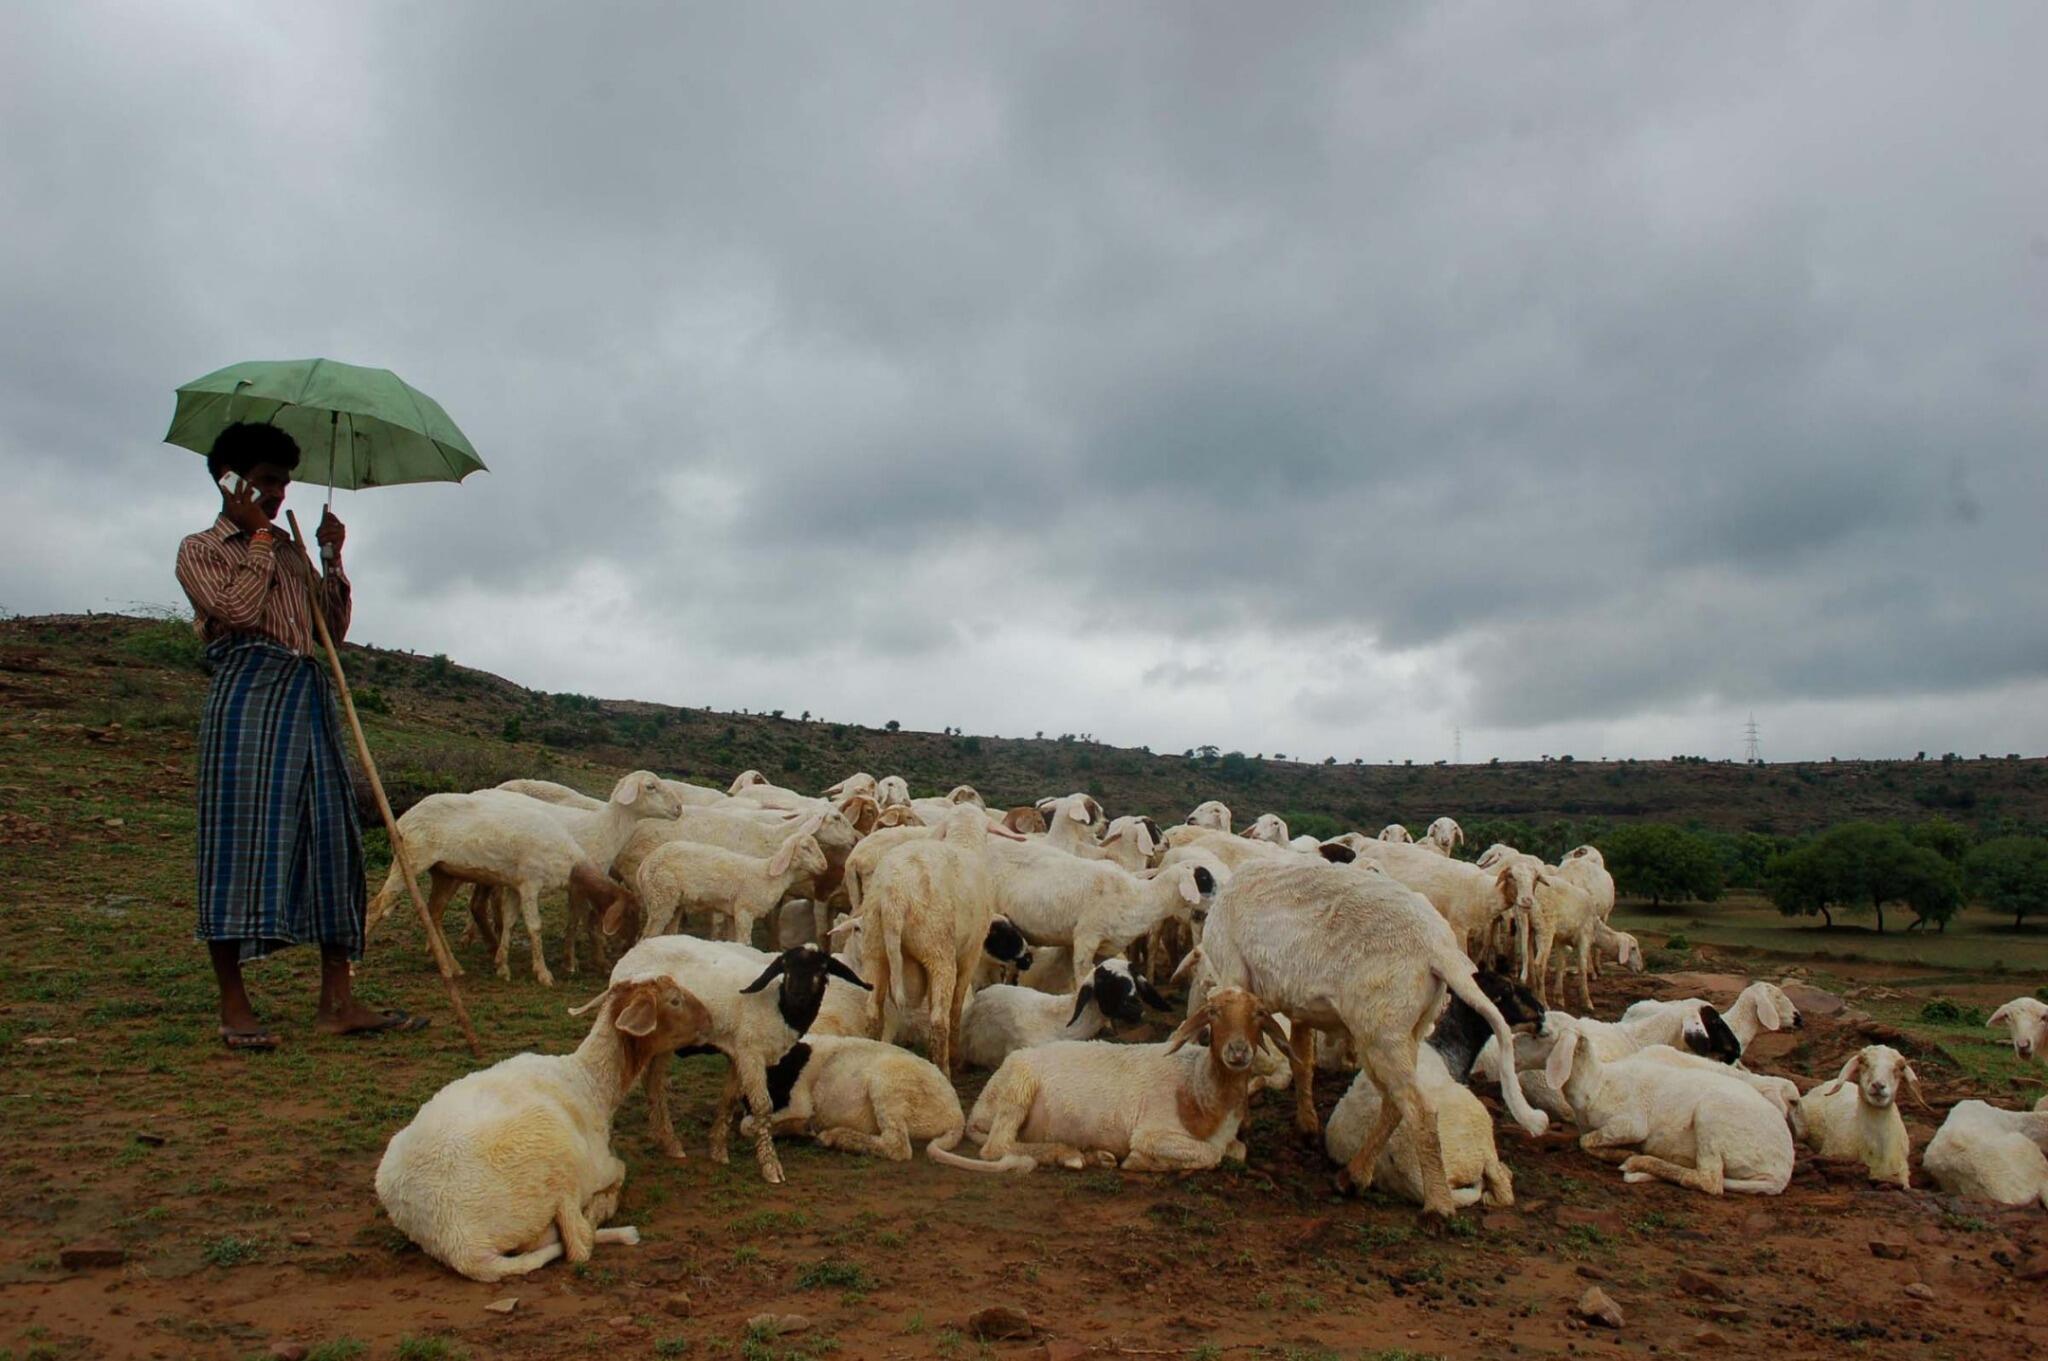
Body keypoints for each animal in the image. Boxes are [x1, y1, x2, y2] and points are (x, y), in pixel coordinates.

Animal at [374, 978, 712, 1277]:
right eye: (675, 1000)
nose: (710, 1018)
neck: (591, 1083)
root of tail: (462, 1248)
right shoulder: (599, 1165)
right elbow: (619, 1171)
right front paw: (605, 1202)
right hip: (557, 1168)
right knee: (576, 1241)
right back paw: (615, 1223)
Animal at [1540, 1015, 1785, 1195]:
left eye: (1545, 1033)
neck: (1597, 1081)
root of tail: (1781, 1171)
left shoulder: (1630, 1124)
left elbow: (1586, 1141)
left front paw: (1622, 1154)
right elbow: (1585, 1139)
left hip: (1711, 1117)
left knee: (1710, 1181)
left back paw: (1637, 1162)